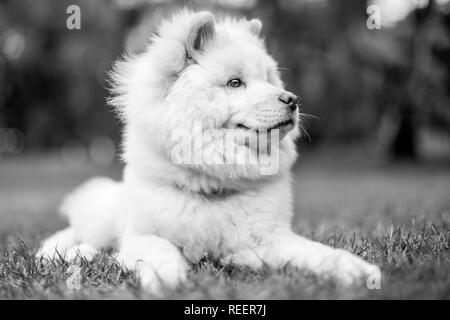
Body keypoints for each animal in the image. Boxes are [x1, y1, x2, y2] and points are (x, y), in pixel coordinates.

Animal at [37, 10, 380, 294]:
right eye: (235, 82)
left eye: (268, 79)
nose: (292, 99)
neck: (213, 180)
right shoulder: (141, 237)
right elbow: (159, 251)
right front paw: (166, 279)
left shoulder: (265, 241)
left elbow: (317, 253)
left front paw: (358, 271)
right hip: (105, 217)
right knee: (78, 233)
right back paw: (60, 253)